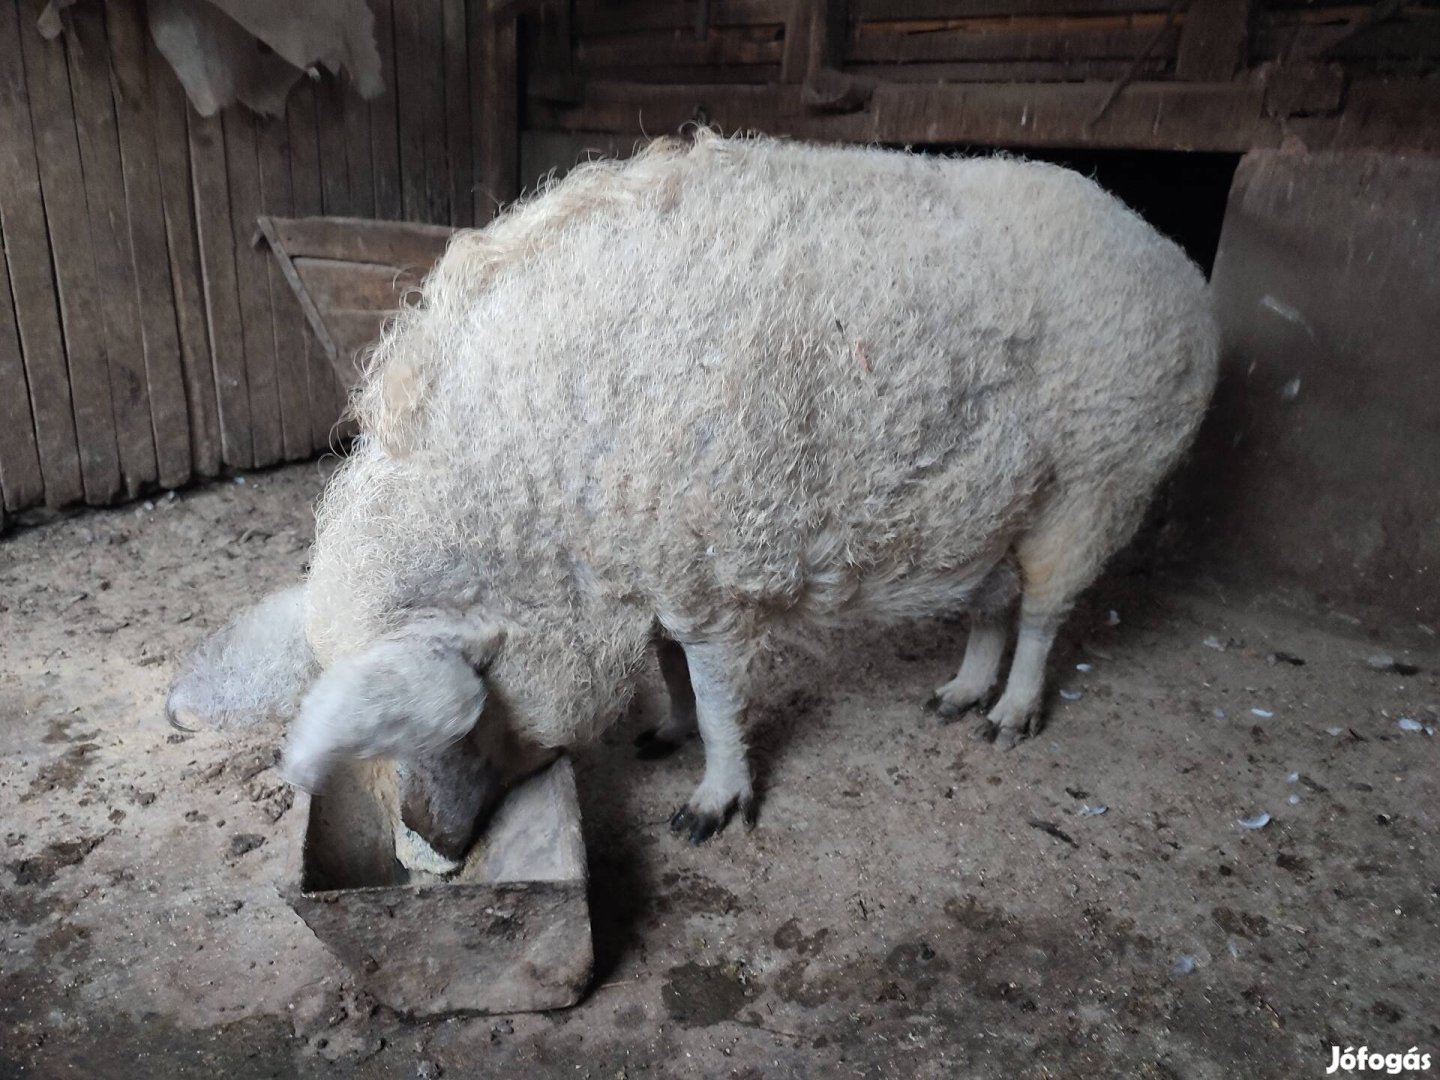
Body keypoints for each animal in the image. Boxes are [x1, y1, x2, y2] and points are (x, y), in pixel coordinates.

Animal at [174, 133, 1221, 846]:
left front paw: (703, 816)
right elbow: (672, 669)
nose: (432, 843)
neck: (552, 509)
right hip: (1001, 501)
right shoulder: (658, 568)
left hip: (1100, 475)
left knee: (1045, 610)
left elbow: (719, 692)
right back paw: (952, 701)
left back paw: (1006, 725)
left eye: (466, 713)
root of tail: (1176, 264)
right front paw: (658, 739)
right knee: (996, 600)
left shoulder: (715, 563)